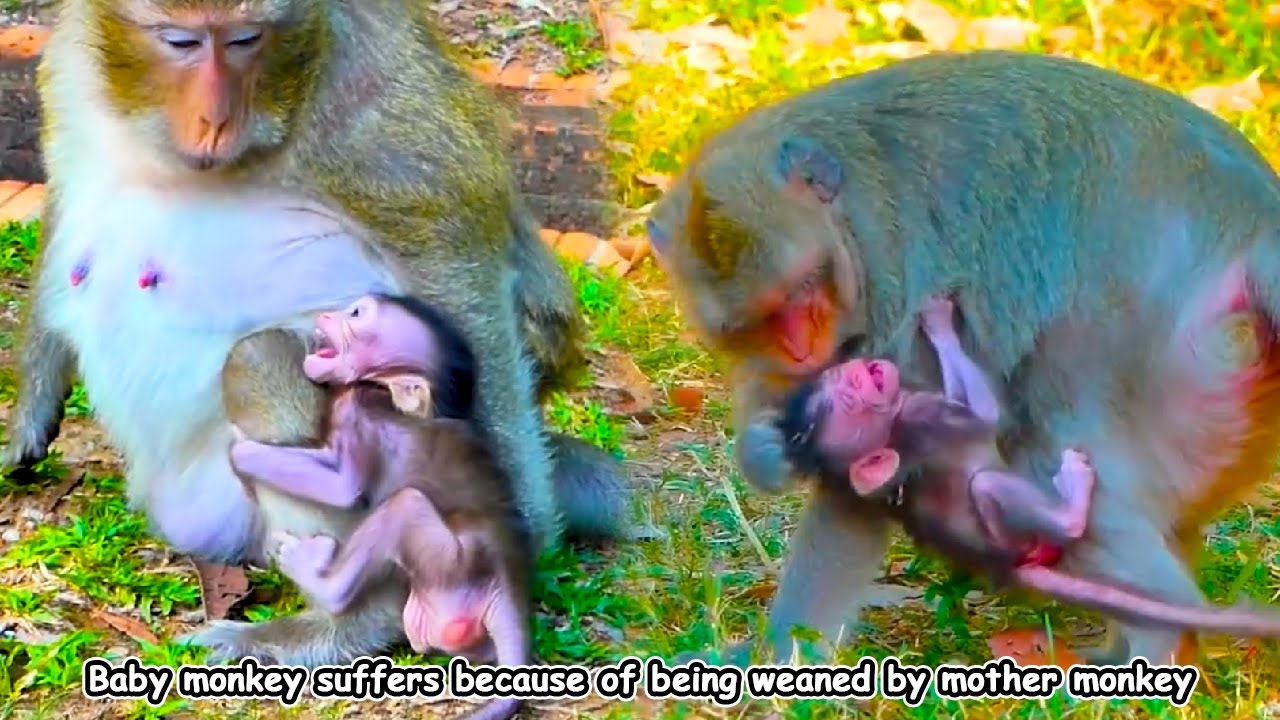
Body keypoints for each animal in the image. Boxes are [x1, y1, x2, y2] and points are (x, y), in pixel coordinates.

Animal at [1, 0, 642, 666]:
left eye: (245, 40)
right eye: (181, 42)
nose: (214, 118)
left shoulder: (378, 112)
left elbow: (467, 284)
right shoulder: (71, 65)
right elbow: (65, 202)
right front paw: (32, 412)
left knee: (265, 363)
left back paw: (350, 622)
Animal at [227, 293, 529, 720]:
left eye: (356, 314)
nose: (325, 313)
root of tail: (508, 575)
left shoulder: (357, 408)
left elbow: (345, 488)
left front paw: (240, 454)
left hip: (453, 561)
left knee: (403, 506)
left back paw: (319, 576)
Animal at [645, 49, 1280, 666]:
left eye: (805, 287)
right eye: (760, 320)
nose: (801, 347)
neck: (847, 221)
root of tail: (1258, 218)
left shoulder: (892, 279)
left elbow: (865, 484)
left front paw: (783, 648)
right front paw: (765, 449)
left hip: (1155, 344)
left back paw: (1158, 641)